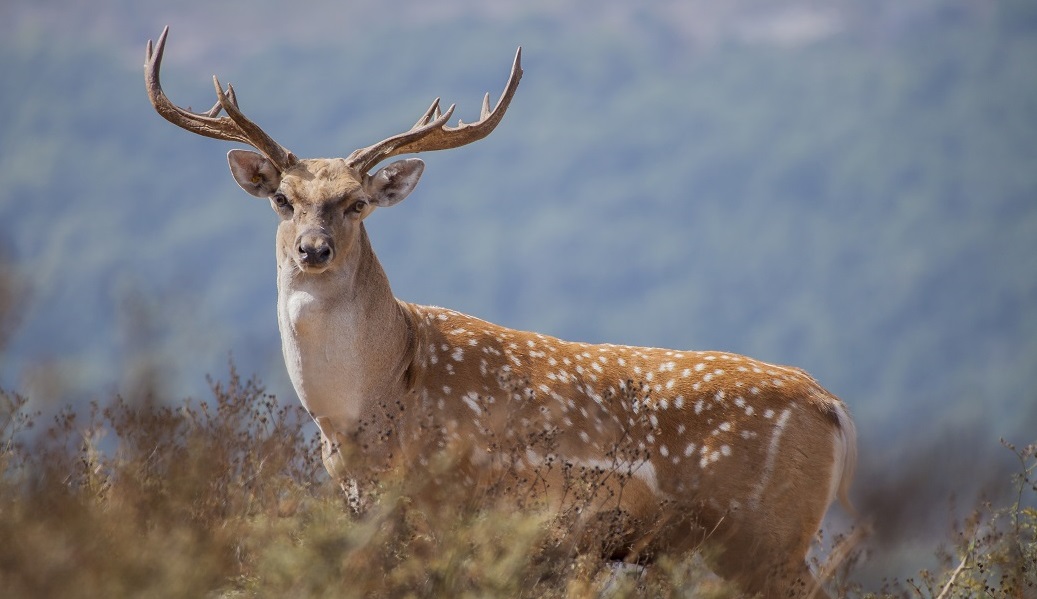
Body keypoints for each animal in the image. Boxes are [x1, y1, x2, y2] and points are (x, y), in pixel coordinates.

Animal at [146, 27, 858, 596]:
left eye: (356, 202)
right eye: (283, 200)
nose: (313, 249)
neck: (365, 407)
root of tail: (832, 407)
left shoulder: (450, 500)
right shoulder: (364, 508)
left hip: (767, 534)